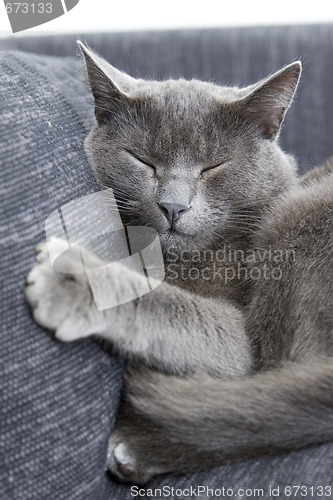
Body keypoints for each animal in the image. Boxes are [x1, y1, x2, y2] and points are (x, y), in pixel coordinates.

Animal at [26, 44, 332, 484]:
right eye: (143, 160)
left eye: (213, 166)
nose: (173, 205)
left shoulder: (241, 345)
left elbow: (174, 307)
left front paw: (72, 279)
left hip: (302, 214)